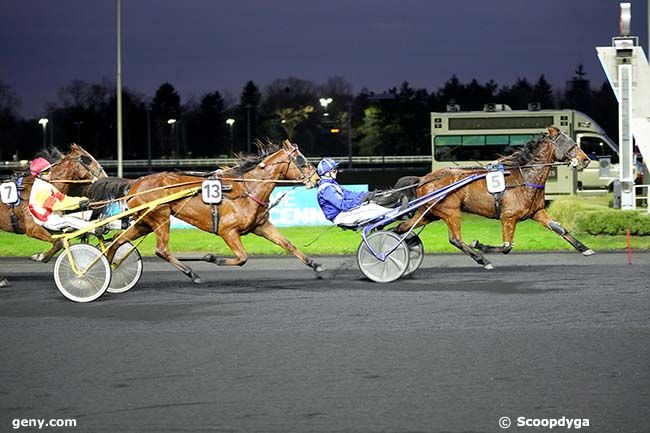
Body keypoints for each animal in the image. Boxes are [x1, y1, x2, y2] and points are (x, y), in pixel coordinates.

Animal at [90, 142, 322, 282]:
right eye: (302, 162)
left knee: (116, 243)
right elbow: (242, 258)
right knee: (161, 250)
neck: (247, 188)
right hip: (160, 217)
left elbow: (288, 244)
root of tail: (134, 182)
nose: (317, 179)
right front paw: (211, 257)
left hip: (143, 223)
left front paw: (315, 265)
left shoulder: (261, 225)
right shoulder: (228, 231)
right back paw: (192, 272)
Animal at [394, 125, 592, 266]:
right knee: (455, 239)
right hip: (450, 212)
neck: (524, 177)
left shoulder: (537, 212)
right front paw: (479, 245)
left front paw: (585, 248)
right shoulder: (508, 217)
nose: (586, 160)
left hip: (429, 213)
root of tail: (423, 179)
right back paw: (483, 260)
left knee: (402, 227)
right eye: (569, 143)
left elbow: (560, 229)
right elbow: (506, 247)